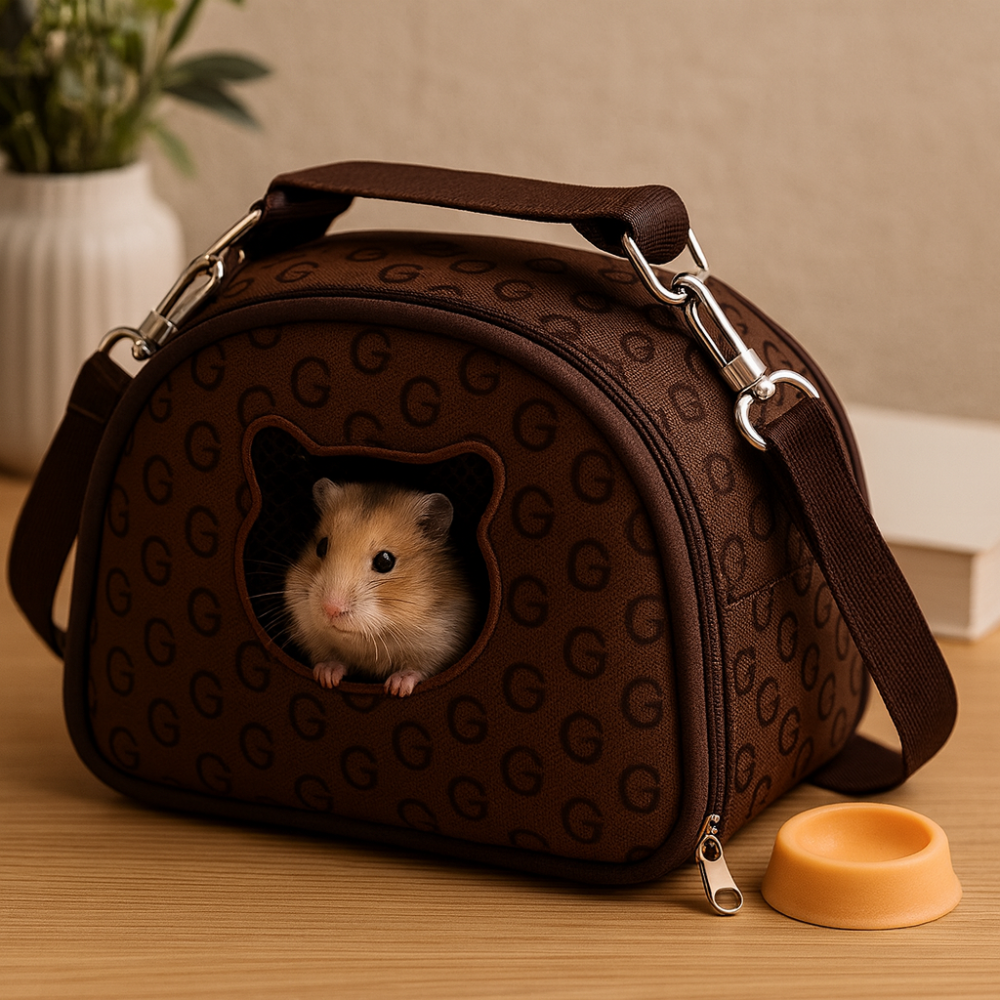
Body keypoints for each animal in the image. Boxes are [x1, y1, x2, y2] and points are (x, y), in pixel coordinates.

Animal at [284, 479, 478, 697]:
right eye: (321, 547)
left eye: (385, 561)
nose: (331, 609)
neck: (374, 638)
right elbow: (332, 658)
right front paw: (326, 676)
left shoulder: (443, 642)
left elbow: (417, 668)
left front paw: (397, 688)